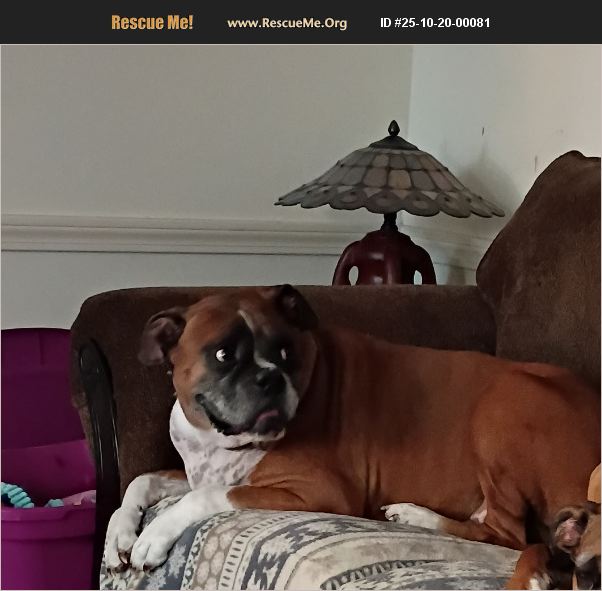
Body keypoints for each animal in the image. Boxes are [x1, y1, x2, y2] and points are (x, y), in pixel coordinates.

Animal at [104, 285, 600, 572]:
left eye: (284, 352)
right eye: (224, 354)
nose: (270, 378)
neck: (218, 439)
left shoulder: (319, 492)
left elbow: (206, 496)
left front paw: (154, 535)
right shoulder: (192, 471)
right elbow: (141, 481)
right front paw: (119, 537)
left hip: (502, 405)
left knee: (508, 535)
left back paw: (419, 516)